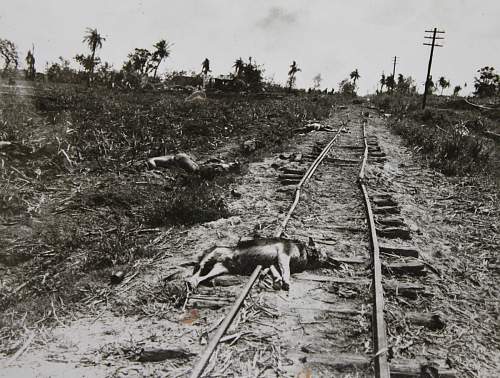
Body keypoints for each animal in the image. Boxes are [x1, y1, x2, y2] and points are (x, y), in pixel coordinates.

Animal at [186, 238, 326, 290]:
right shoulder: (283, 255)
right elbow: (286, 270)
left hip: (220, 268)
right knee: (199, 267)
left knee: (203, 277)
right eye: (320, 250)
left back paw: (193, 283)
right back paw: (191, 280)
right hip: (214, 253)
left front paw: (278, 281)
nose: (326, 258)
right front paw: (285, 281)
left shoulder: (275, 262)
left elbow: (277, 271)